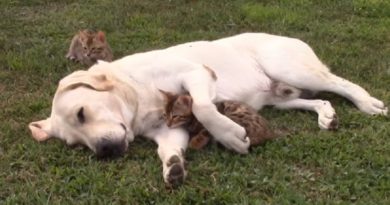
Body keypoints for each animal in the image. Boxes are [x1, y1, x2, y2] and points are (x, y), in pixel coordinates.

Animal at [28, 32, 386, 187]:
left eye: (82, 113)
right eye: (77, 144)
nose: (104, 151)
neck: (136, 94)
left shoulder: (196, 74)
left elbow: (203, 108)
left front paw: (231, 137)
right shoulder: (167, 129)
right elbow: (168, 150)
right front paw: (173, 166)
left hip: (290, 68)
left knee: (339, 82)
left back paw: (369, 103)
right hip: (279, 98)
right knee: (318, 98)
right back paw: (327, 114)